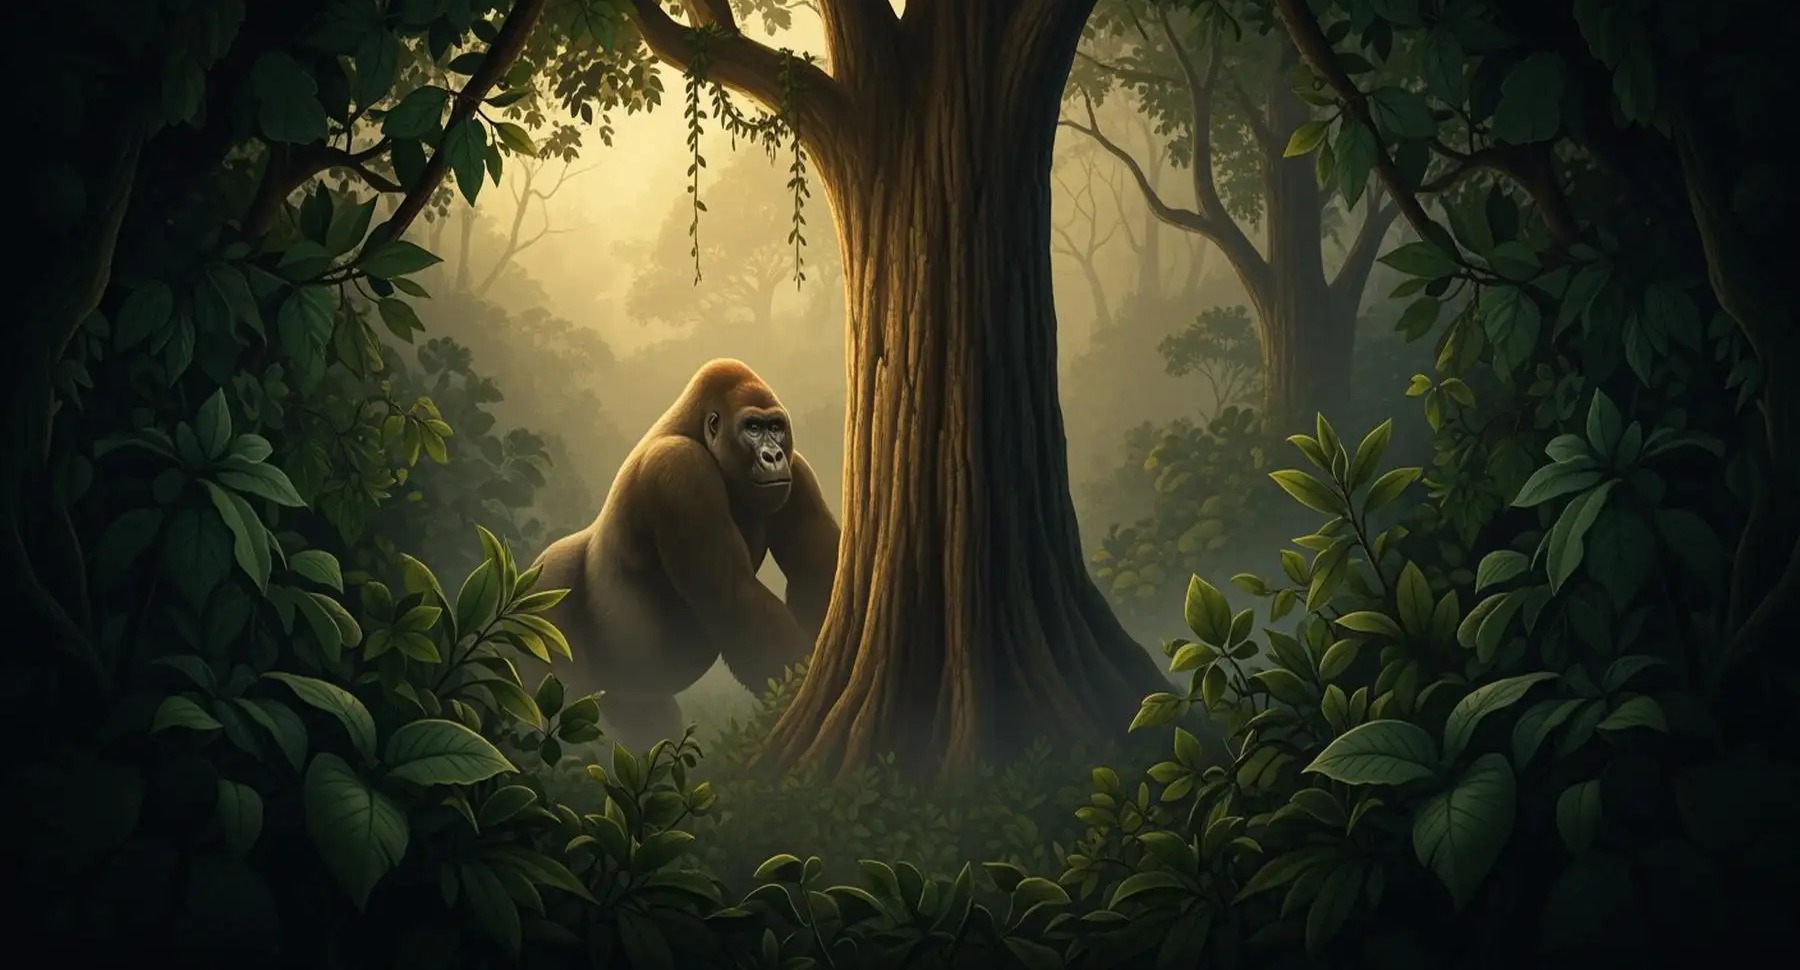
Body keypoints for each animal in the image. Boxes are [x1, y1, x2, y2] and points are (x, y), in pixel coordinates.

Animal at [524, 359, 840, 751]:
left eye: (776, 427)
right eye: (752, 428)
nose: (773, 456)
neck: (695, 430)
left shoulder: (797, 471)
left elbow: (816, 572)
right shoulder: (679, 470)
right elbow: (737, 600)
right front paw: (794, 698)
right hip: (545, 598)